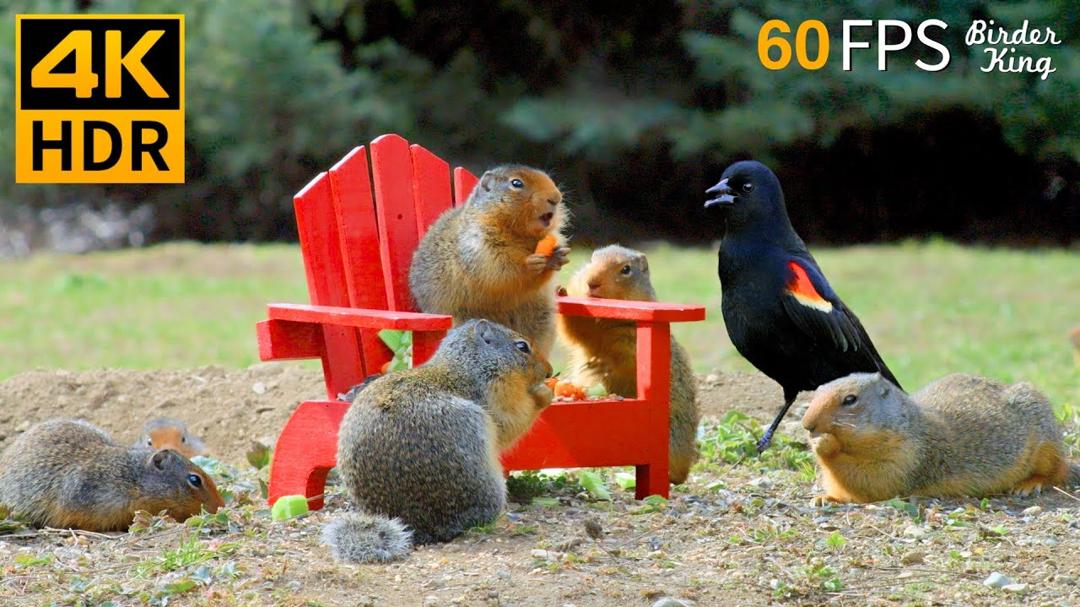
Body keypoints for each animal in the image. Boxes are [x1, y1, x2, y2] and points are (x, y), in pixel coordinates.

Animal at [322, 319, 553, 563]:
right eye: (522, 347)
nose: (550, 372)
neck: (469, 364)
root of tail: (416, 525)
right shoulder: (496, 396)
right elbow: (511, 424)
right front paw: (544, 393)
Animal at [408, 165, 570, 357]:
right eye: (516, 183)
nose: (556, 198)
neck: (520, 235)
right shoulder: (481, 244)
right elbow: (501, 269)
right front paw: (531, 264)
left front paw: (558, 256)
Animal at [556, 245, 701, 484]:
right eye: (591, 259)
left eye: (626, 269)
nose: (592, 283)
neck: (606, 319)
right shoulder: (587, 326)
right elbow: (575, 330)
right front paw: (560, 291)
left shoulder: (629, 334)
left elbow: (625, 356)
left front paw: (600, 365)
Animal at [802, 373, 1080, 504]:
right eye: (816, 391)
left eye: (850, 399)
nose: (807, 424)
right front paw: (824, 497)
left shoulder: (907, 455)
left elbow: (876, 480)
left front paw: (825, 443)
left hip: (1046, 443)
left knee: (1058, 469)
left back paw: (1030, 484)